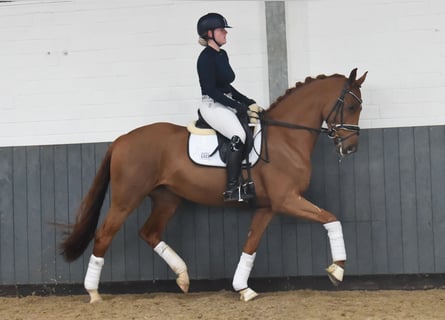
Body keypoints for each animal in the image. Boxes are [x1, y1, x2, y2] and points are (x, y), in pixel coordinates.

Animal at [62, 68, 368, 302]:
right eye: (352, 107)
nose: (351, 149)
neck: (286, 138)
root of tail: (121, 139)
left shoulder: (268, 207)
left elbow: (250, 245)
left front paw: (243, 288)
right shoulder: (287, 200)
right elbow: (331, 219)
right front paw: (338, 269)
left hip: (167, 199)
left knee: (149, 232)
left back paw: (183, 277)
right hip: (127, 198)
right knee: (104, 236)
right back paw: (93, 293)